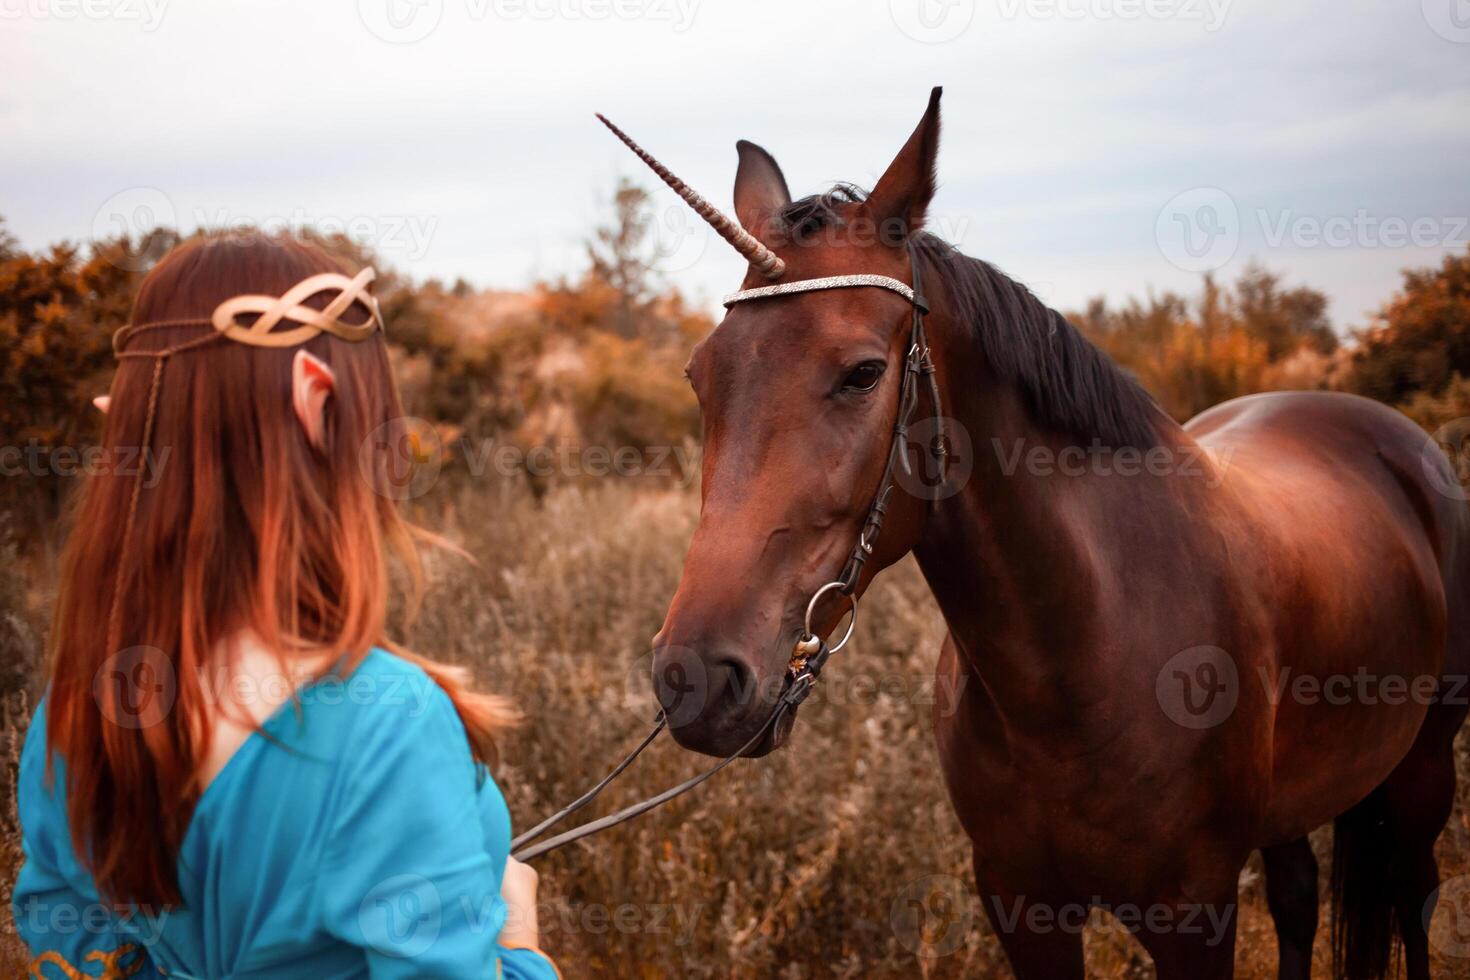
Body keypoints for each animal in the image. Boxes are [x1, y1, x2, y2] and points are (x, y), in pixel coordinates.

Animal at [623, 88, 1470, 975]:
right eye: (700, 376)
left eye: (862, 374)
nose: (694, 679)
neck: (1083, 656)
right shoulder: (1022, 906)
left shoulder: (1195, 915)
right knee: (1299, 896)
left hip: (1422, 773)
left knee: (1412, 896)